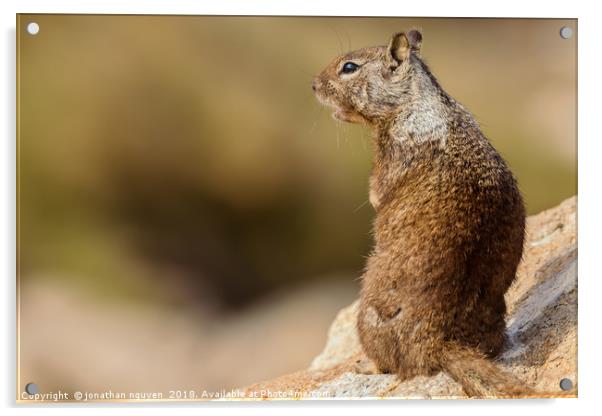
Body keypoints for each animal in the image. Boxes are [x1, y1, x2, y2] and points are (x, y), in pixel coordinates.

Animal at [312, 30, 528, 398]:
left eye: (349, 67)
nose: (313, 84)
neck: (417, 101)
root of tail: (438, 342)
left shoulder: (390, 157)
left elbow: (376, 191)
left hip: (367, 317)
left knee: (391, 363)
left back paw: (365, 363)